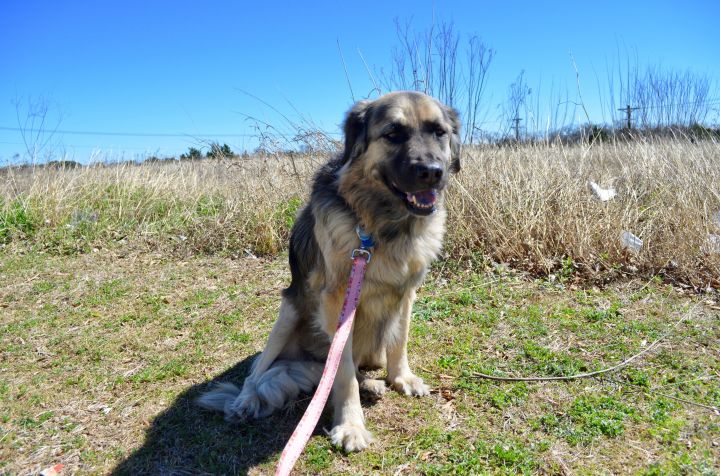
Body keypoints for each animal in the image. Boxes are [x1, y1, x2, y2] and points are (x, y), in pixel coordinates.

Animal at [198, 91, 462, 452]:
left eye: (439, 132)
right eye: (393, 133)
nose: (432, 172)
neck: (381, 223)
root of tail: (306, 363)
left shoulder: (406, 291)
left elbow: (400, 340)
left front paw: (401, 378)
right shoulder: (337, 301)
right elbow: (344, 371)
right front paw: (350, 425)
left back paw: (372, 382)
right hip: (288, 314)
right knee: (257, 374)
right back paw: (246, 401)